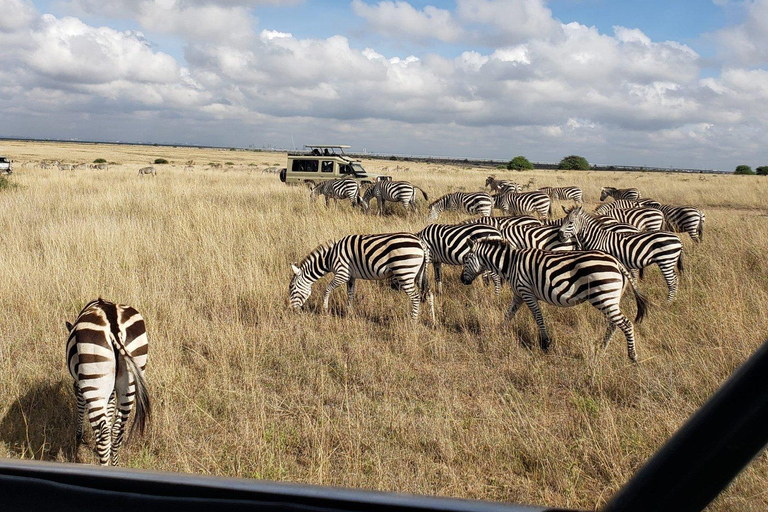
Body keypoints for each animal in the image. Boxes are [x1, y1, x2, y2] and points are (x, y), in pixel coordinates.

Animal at [67, 298, 151, 466]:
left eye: (73, 387)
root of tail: (115, 327)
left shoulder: (84, 384)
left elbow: (81, 404)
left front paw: (78, 437)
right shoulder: (110, 389)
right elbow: (110, 408)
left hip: (94, 381)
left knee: (103, 435)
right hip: (131, 377)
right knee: (118, 429)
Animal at [290, 234, 436, 322]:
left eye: (292, 290)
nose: (292, 310)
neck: (330, 257)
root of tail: (420, 242)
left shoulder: (342, 274)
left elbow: (327, 289)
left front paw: (325, 309)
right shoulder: (351, 277)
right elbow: (350, 294)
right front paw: (349, 314)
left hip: (405, 272)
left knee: (415, 297)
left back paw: (413, 322)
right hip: (419, 273)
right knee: (429, 293)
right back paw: (433, 320)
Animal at [462, 238, 648, 362]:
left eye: (466, 259)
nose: (462, 280)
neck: (510, 263)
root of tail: (617, 262)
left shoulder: (526, 291)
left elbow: (538, 316)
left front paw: (545, 343)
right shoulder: (518, 295)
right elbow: (509, 314)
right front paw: (498, 331)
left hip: (603, 296)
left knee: (625, 324)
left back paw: (632, 356)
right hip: (610, 298)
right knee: (614, 324)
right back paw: (601, 348)